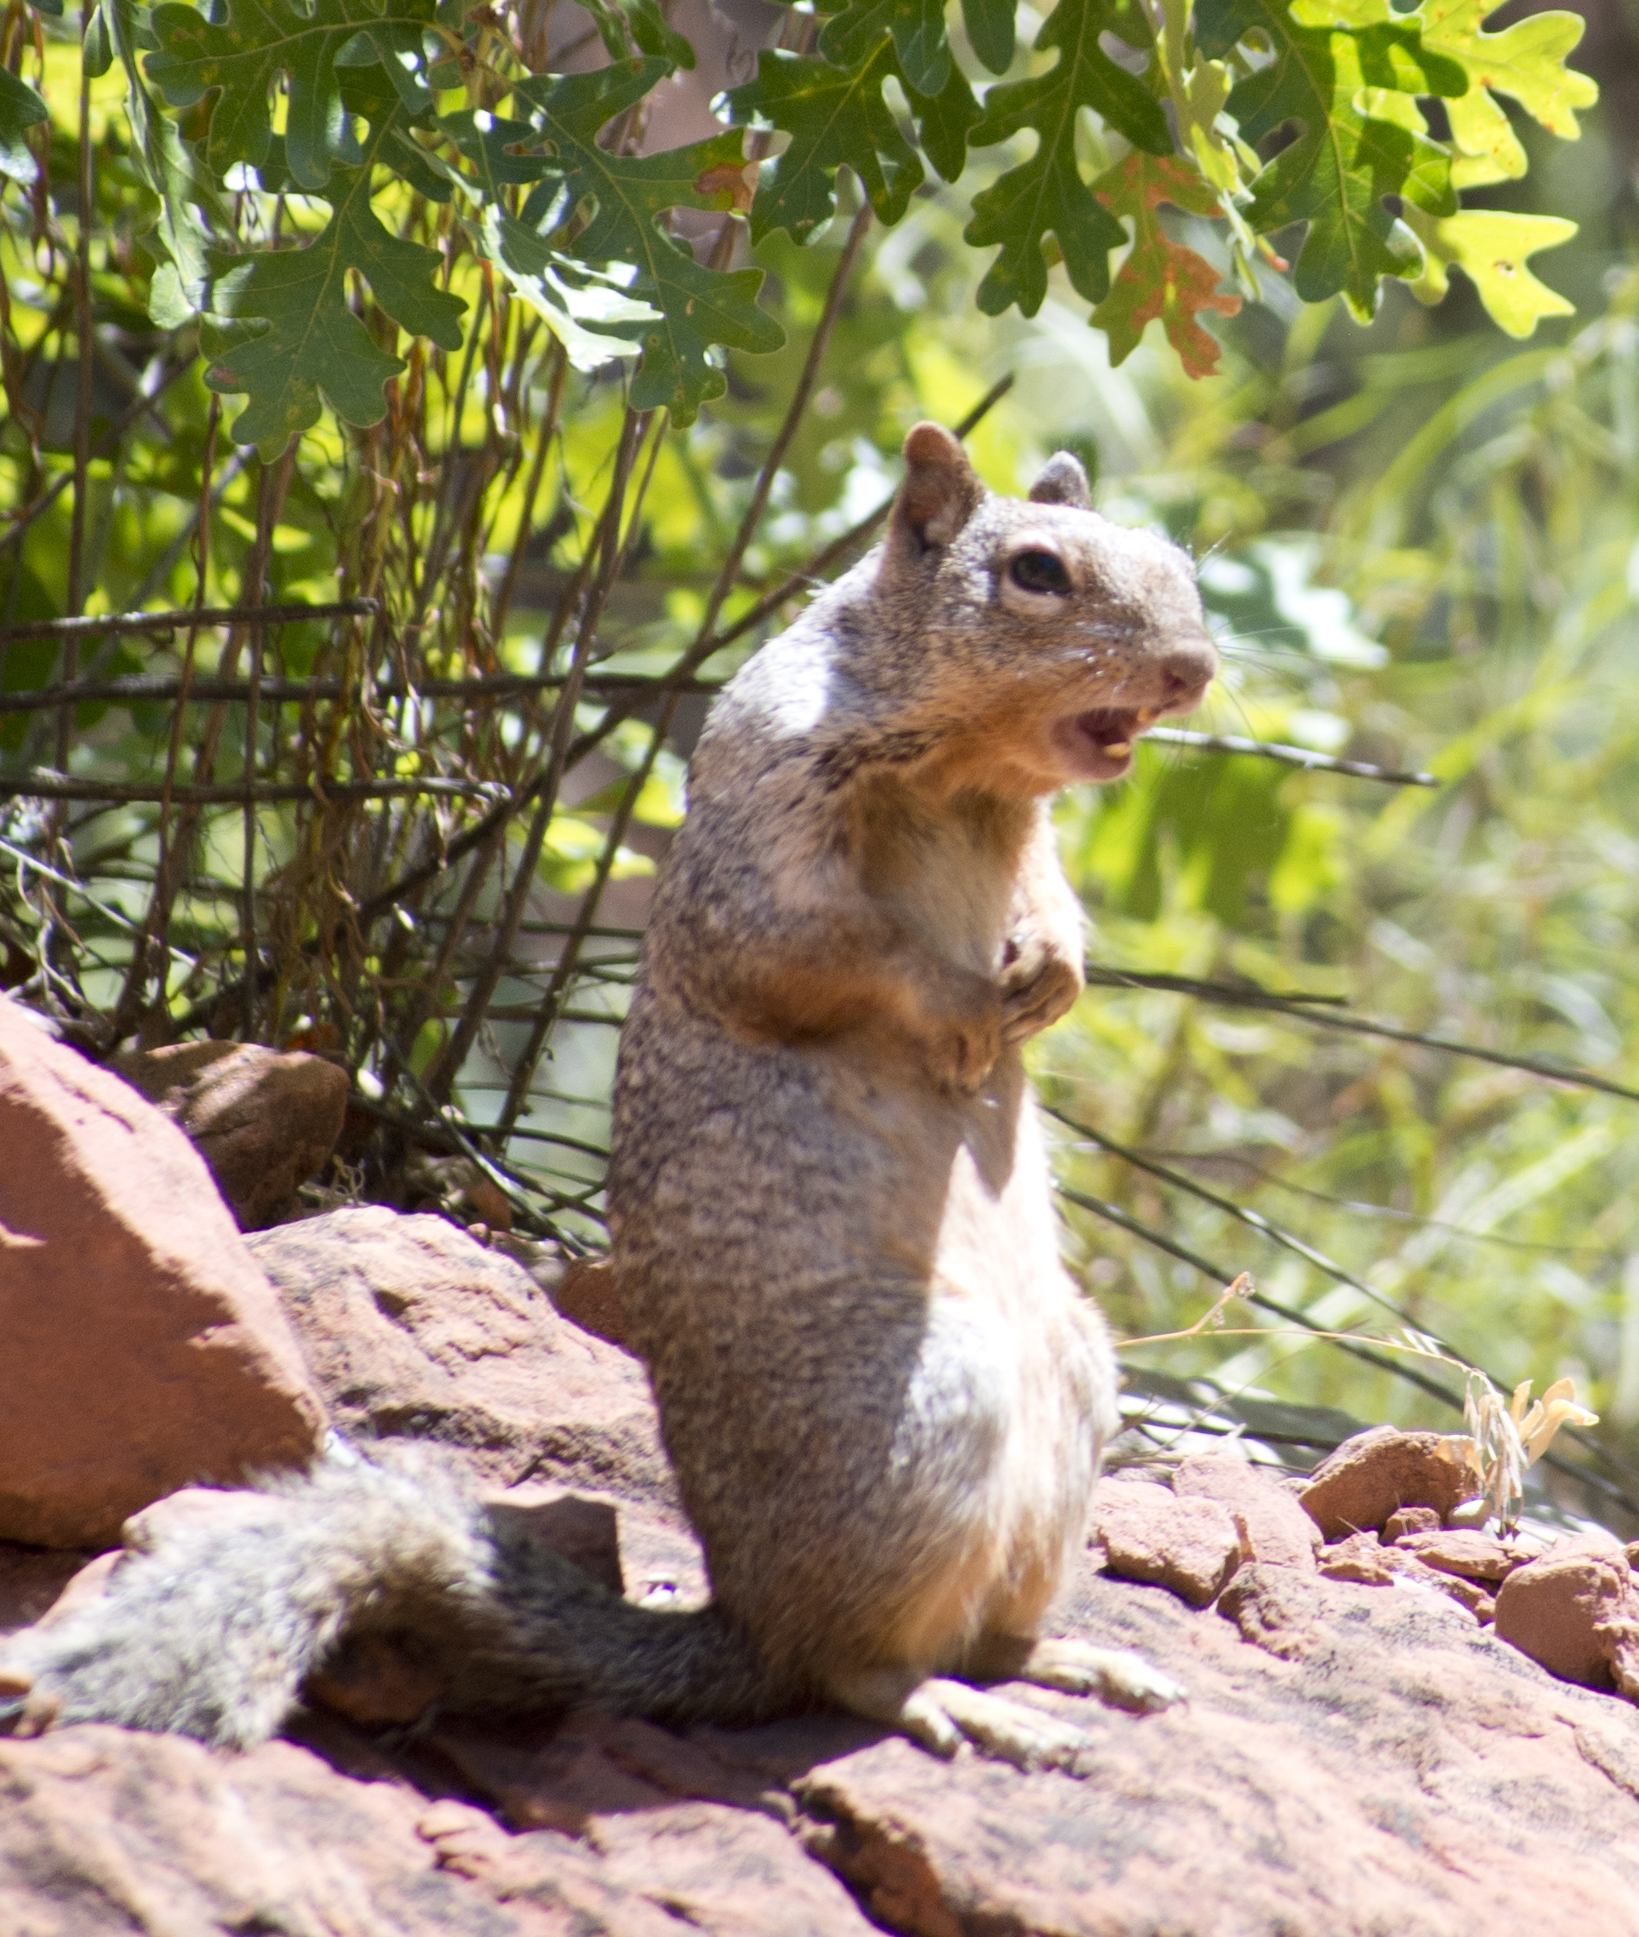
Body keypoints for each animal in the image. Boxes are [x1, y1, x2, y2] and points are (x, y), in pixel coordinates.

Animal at [0, 420, 1216, 1774]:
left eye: (1173, 559)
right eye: (1036, 572)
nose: (1193, 668)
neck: (969, 780)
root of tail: (742, 1620)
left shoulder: (1031, 840)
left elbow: (1052, 901)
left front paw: (1049, 972)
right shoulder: (768, 826)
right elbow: (811, 951)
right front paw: (956, 1009)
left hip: (1073, 1382)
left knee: (985, 1627)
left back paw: (1069, 1661)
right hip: (929, 1410)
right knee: (855, 1667)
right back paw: (956, 1702)